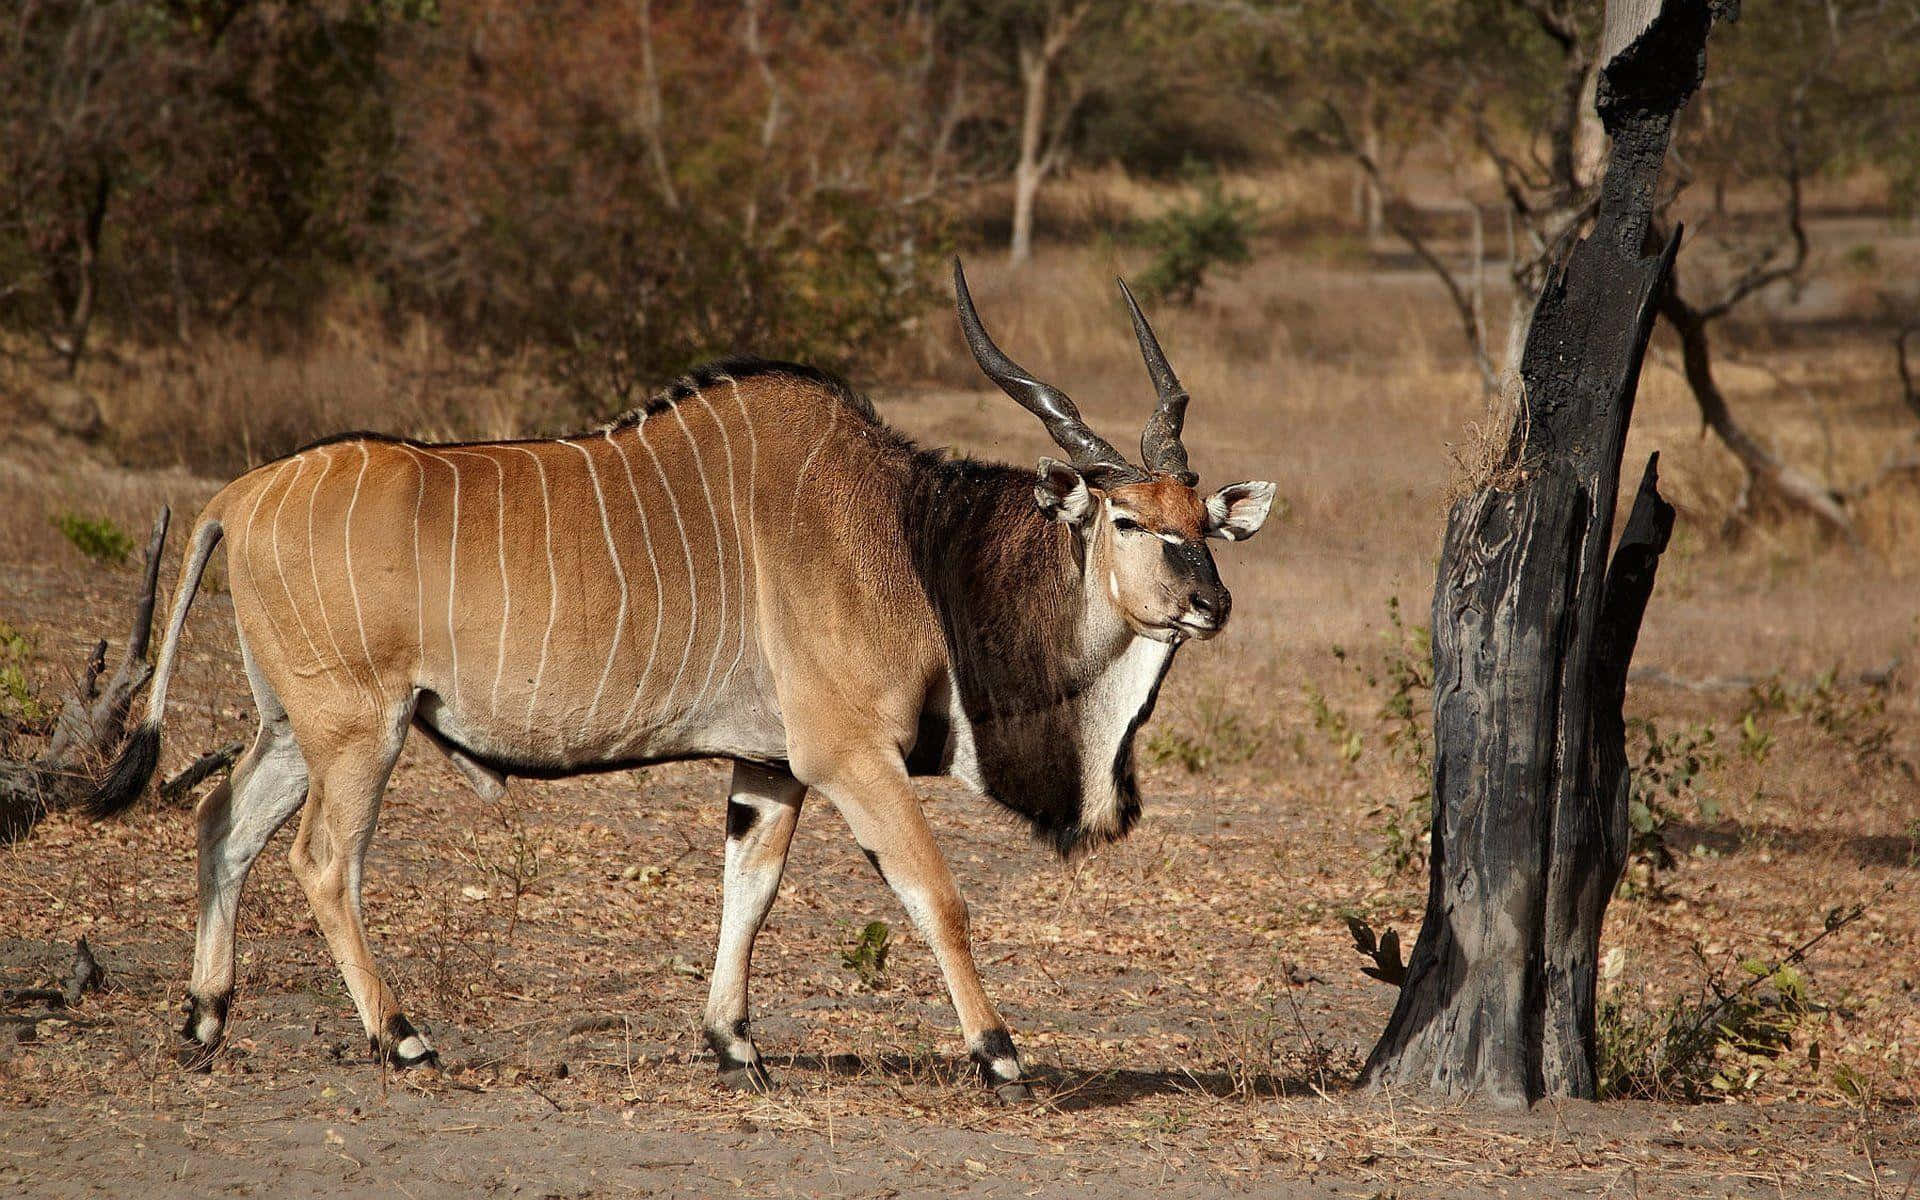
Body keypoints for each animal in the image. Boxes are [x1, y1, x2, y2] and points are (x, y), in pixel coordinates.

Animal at [90, 261, 1274, 1098]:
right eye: (1128, 520)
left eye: (1202, 519)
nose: (1211, 602)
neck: (908, 537)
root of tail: (237, 494)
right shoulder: (849, 758)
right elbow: (936, 895)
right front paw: (1002, 1054)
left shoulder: (770, 769)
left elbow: (748, 890)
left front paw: (735, 1045)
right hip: (358, 730)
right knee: (321, 859)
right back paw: (405, 1038)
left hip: (296, 727)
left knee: (222, 823)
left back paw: (204, 1020)